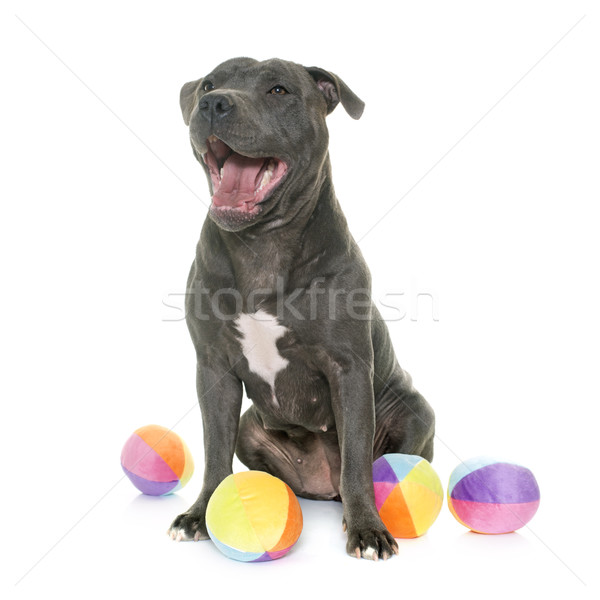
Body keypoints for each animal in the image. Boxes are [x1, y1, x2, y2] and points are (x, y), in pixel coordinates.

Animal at [166, 58, 434, 560]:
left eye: (279, 89)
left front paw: (367, 530)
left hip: (413, 410)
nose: (213, 103)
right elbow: (214, 449)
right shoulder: (213, 368)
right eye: (208, 84)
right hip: (250, 427)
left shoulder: (349, 370)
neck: (261, 244)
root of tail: (323, 487)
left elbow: (356, 458)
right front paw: (200, 513)